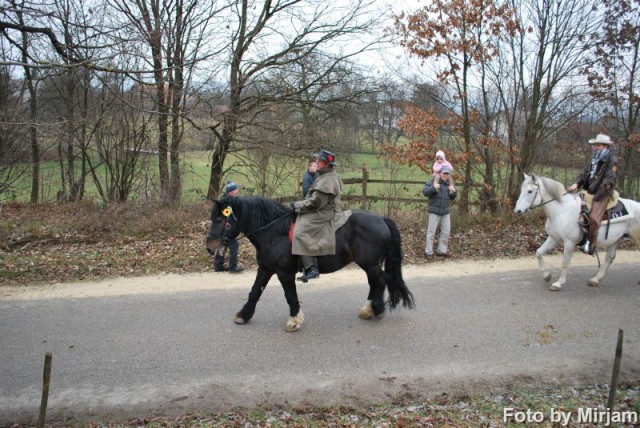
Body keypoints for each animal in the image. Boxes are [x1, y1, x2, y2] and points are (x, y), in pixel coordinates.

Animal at [205, 196, 416, 332]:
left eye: (219, 219)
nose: (209, 247)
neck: (274, 231)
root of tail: (381, 219)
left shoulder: (284, 273)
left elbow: (290, 296)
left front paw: (294, 320)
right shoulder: (265, 268)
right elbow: (255, 292)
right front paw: (243, 315)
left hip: (370, 264)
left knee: (380, 281)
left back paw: (377, 309)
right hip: (369, 265)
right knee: (376, 282)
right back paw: (368, 310)